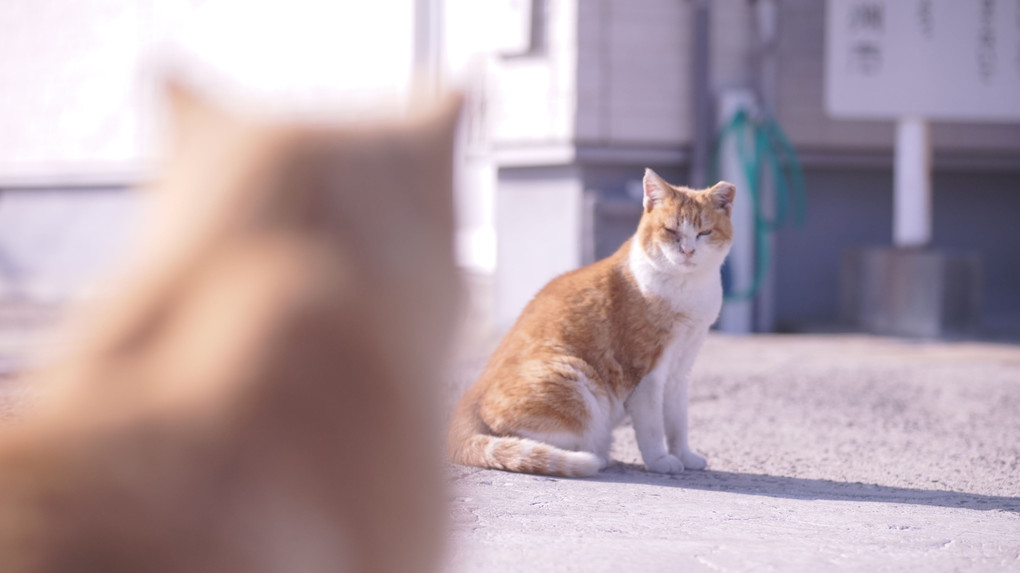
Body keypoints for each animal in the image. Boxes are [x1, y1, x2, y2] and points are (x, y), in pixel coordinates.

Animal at [448, 168, 734, 473]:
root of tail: (471, 394)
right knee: (528, 440)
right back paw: (592, 453)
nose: (688, 251)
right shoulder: (646, 375)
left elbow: (678, 422)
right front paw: (659, 460)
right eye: (671, 231)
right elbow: (653, 427)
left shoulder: (680, 371)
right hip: (576, 376)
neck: (688, 288)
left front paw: (685, 456)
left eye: (704, 233)